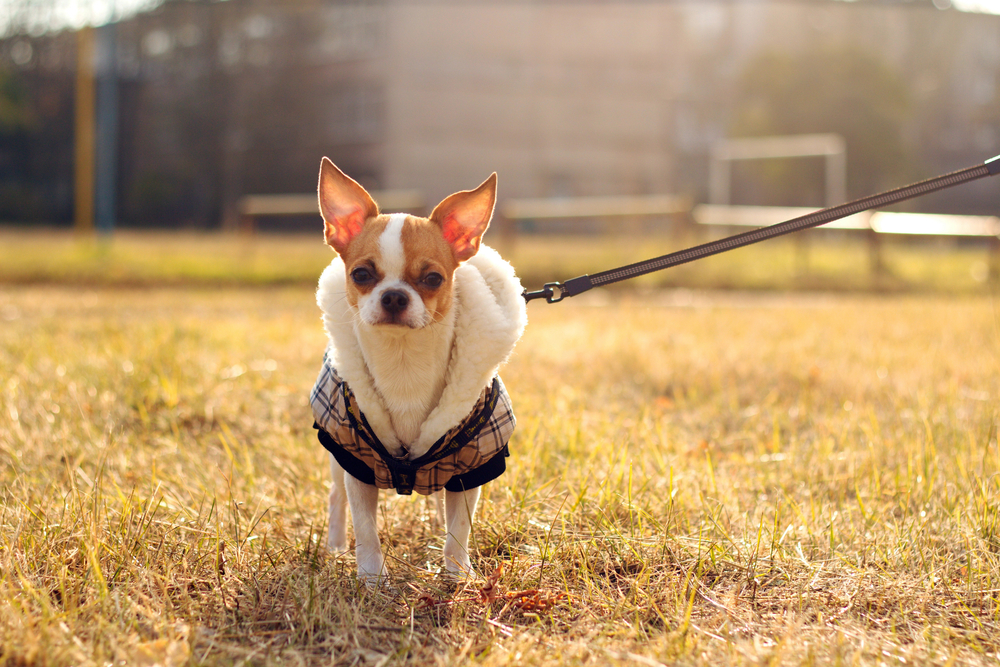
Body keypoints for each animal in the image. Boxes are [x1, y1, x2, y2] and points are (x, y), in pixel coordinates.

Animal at [310, 159, 532, 580]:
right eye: (361, 275)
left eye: (433, 279)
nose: (394, 296)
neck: (404, 363)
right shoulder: (357, 463)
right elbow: (366, 528)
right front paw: (371, 578)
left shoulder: (471, 466)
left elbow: (459, 526)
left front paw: (458, 574)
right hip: (335, 457)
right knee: (334, 497)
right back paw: (335, 546)